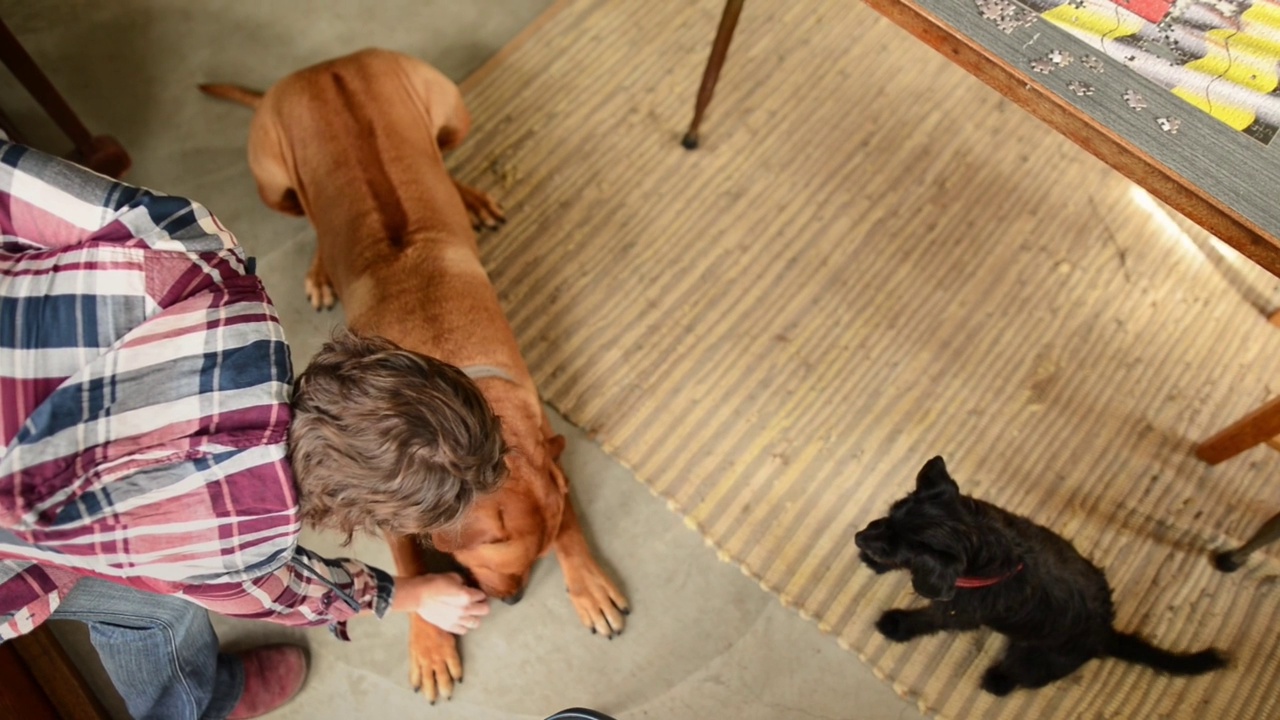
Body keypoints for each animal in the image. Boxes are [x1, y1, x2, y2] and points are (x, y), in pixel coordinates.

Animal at [198, 49, 629, 702]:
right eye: (504, 568)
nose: (514, 599)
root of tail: (326, 65)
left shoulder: (544, 446)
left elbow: (565, 508)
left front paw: (586, 576)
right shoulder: (391, 508)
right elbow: (406, 565)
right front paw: (431, 641)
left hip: (450, 110)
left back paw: (470, 198)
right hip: (272, 178)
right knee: (307, 215)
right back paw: (321, 269)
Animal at [855, 456, 1223, 691]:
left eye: (898, 549)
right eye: (890, 514)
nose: (859, 537)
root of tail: (1106, 636)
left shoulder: (958, 613)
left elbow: (928, 618)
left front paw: (896, 624)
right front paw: (873, 562)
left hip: (1035, 655)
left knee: (1026, 675)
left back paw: (999, 680)